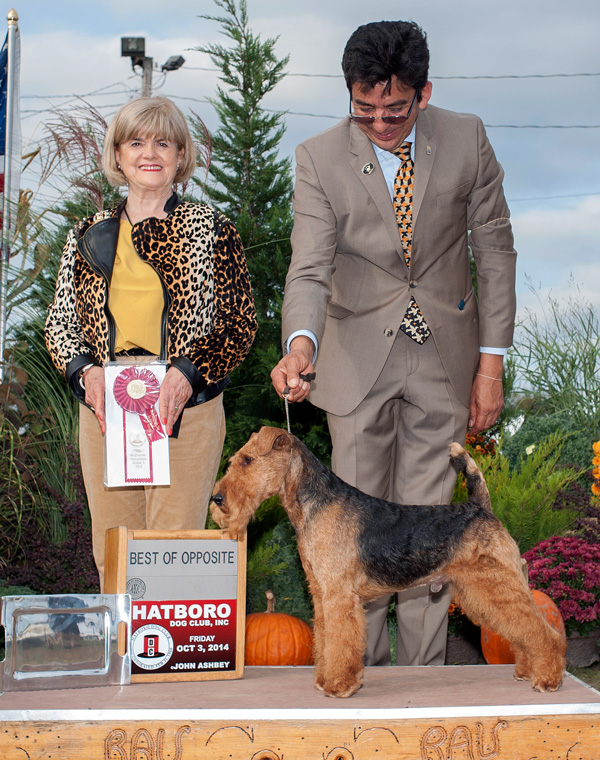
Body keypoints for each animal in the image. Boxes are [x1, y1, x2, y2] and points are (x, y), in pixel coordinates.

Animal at [212, 424, 568, 696]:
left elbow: (341, 642)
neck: (314, 503)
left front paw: (339, 685)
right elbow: (325, 640)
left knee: (544, 632)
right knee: (523, 633)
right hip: (483, 593)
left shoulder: (340, 595)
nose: (217, 499)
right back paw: (527, 671)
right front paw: (324, 679)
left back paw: (548, 679)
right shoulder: (322, 593)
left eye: (248, 460)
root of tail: (480, 507)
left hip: (497, 585)